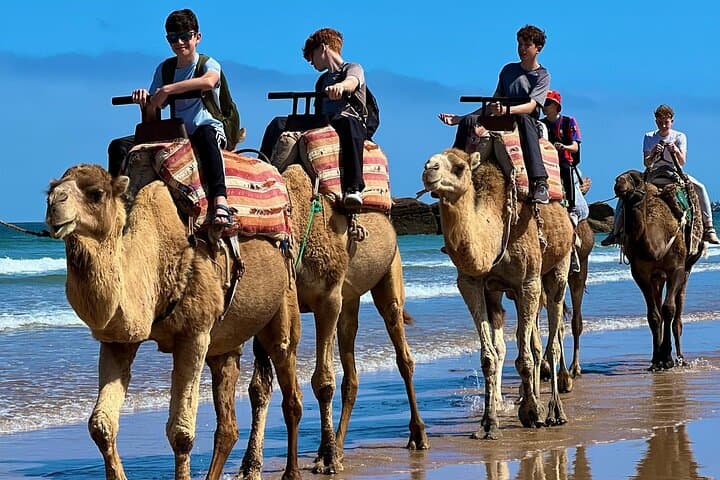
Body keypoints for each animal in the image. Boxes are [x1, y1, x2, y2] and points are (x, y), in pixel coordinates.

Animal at [45, 164, 303, 480]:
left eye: (96, 193)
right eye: (51, 189)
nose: (54, 204)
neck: (152, 266)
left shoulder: (194, 334)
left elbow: (181, 432)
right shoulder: (118, 340)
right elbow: (101, 425)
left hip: (284, 302)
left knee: (289, 386)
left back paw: (295, 471)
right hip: (225, 343)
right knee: (228, 424)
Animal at [422, 142, 574, 439]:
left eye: (460, 167)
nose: (428, 169)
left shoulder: (528, 282)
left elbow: (525, 356)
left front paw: (532, 413)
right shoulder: (473, 284)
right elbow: (489, 357)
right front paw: (488, 423)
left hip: (558, 268)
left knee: (554, 337)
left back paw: (555, 411)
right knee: (535, 342)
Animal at [613, 169, 704, 370]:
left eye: (636, 179)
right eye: (619, 177)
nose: (618, 182)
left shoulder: (676, 269)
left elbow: (668, 309)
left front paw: (668, 358)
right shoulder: (640, 274)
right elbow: (654, 316)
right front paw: (657, 360)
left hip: (687, 269)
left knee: (678, 310)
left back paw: (680, 358)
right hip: (658, 277)